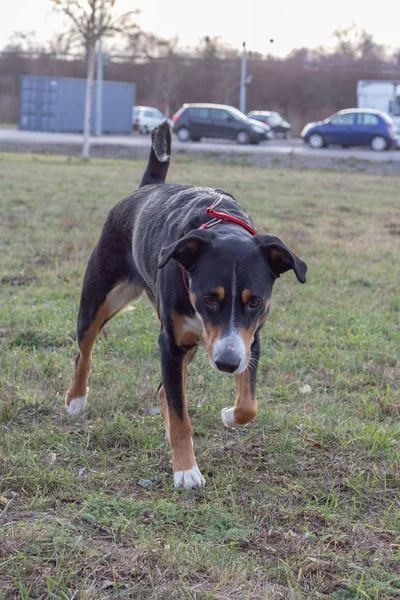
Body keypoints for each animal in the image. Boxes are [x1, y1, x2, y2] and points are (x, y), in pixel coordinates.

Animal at [65, 120, 306, 488]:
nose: (226, 363)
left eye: (254, 302)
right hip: (100, 300)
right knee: (85, 352)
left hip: (192, 341)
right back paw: (76, 399)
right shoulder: (171, 343)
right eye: (209, 298)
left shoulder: (249, 340)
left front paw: (229, 414)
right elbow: (181, 416)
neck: (224, 227)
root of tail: (147, 188)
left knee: (165, 389)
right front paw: (186, 470)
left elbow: (248, 405)